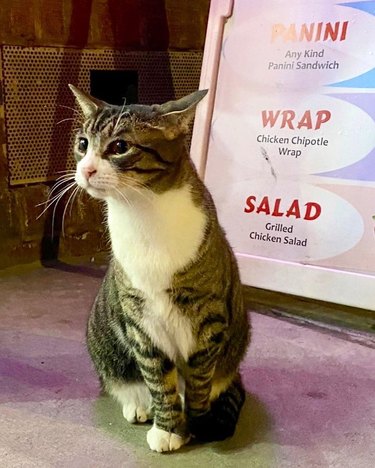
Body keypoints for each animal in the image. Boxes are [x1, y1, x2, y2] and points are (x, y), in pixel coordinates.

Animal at [70, 86, 253, 452]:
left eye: (120, 147)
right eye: (82, 143)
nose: (87, 170)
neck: (143, 213)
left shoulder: (208, 318)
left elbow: (199, 380)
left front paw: (195, 423)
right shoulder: (141, 320)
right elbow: (157, 376)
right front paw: (168, 427)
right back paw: (138, 405)